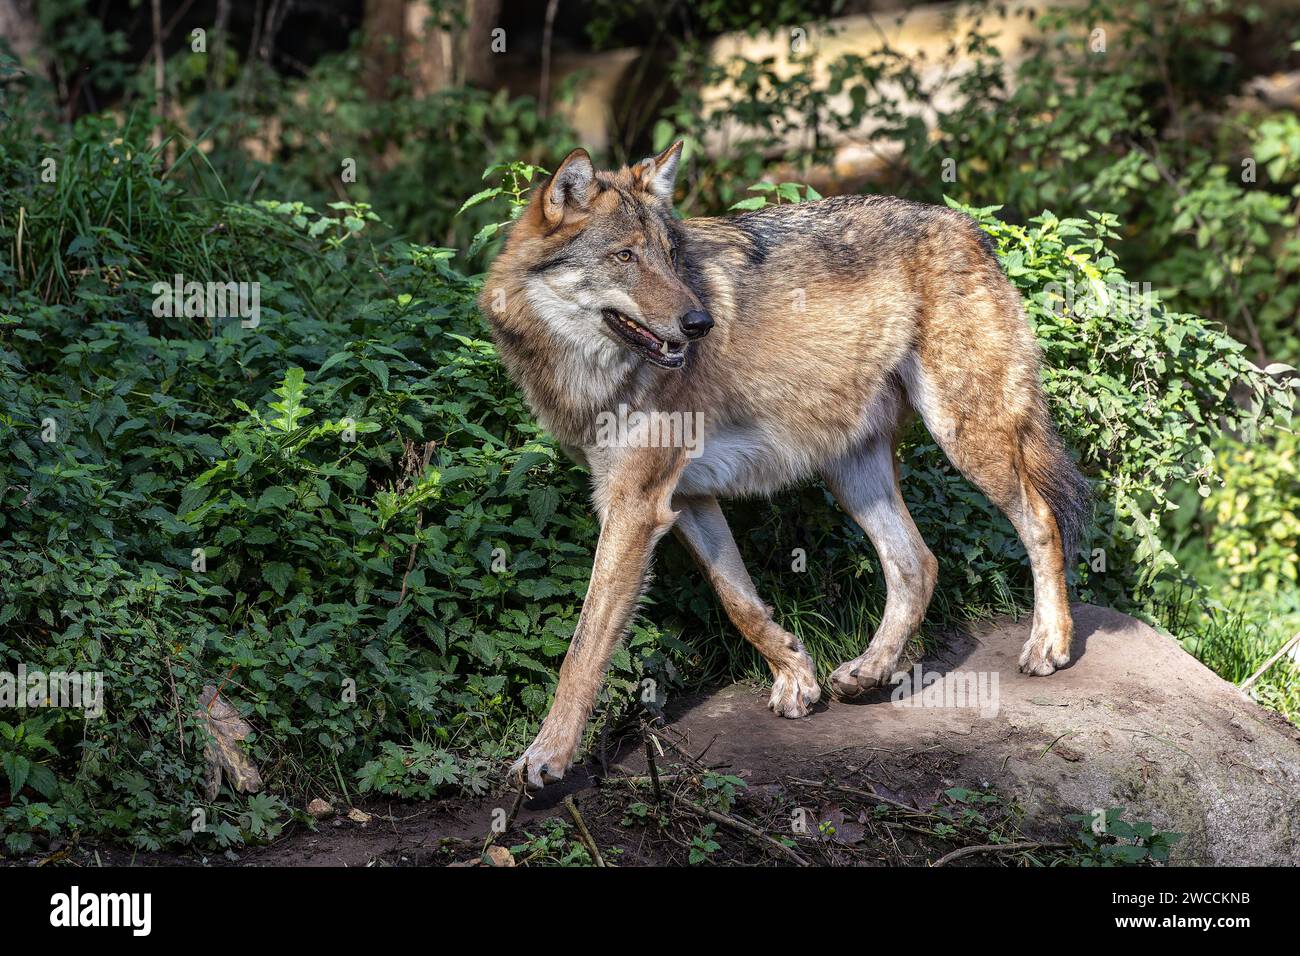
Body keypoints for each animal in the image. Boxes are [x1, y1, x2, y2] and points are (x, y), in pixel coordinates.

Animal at [479, 142, 1090, 788]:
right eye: (624, 256)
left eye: (670, 257)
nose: (699, 323)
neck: (586, 374)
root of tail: (967, 224)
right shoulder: (683, 498)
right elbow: (740, 602)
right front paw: (797, 674)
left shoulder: (635, 507)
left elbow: (584, 645)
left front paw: (547, 754)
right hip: (851, 473)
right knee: (917, 562)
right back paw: (868, 671)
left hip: (966, 438)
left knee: (1041, 520)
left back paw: (1049, 645)